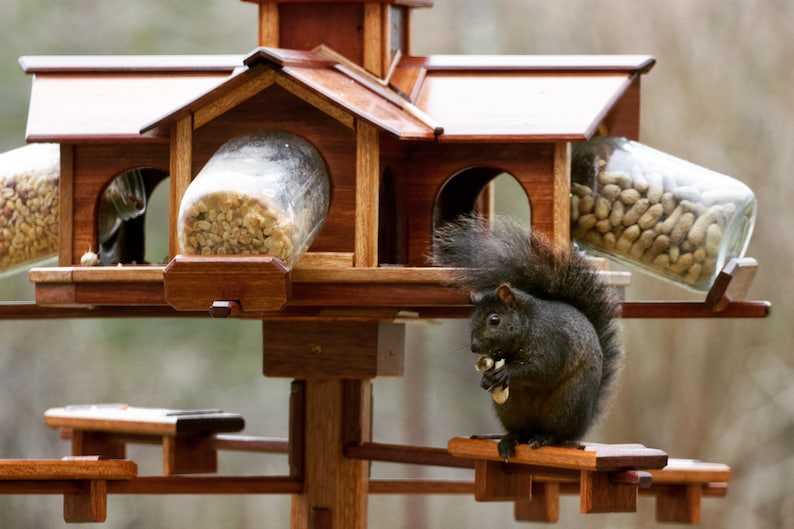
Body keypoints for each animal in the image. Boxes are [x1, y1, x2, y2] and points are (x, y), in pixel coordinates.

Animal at [432, 215, 624, 459]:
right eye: (471, 319)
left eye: (494, 319)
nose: (474, 347)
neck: (528, 327)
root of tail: (584, 422)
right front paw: (485, 379)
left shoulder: (552, 342)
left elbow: (540, 368)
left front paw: (506, 372)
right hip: (510, 409)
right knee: (520, 431)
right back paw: (510, 440)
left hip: (567, 405)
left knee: (558, 434)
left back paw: (544, 438)